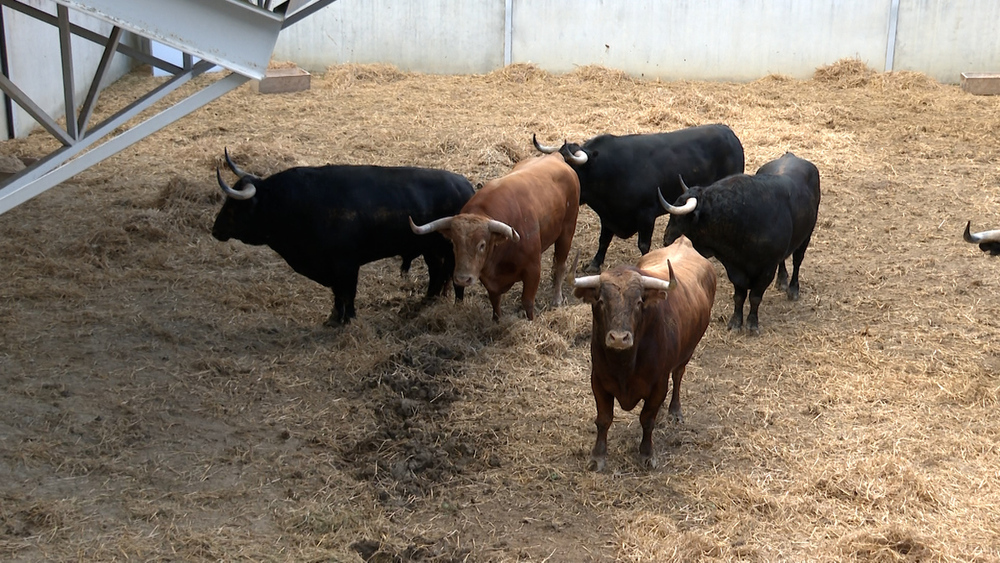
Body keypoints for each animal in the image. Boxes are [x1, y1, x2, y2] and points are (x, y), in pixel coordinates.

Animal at [212, 151, 476, 326]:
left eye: (235, 206)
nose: (215, 230)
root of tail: (466, 185)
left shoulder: (345, 265)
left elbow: (347, 293)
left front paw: (346, 319)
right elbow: (338, 294)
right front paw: (333, 318)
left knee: (452, 278)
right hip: (431, 249)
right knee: (437, 272)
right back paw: (428, 299)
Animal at [408, 153, 580, 322]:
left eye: (482, 245)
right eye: (454, 243)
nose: (463, 279)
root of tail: (555, 156)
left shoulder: (533, 269)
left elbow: (527, 301)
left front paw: (530, 321)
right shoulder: (488, 278)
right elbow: (495, 300)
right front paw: (496, 320)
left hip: (567, 231)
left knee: (560, 265)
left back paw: (557, 299)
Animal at [536, 123, 748, 274]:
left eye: (570, 169)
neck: (609, 170)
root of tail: (728, 132)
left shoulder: (646, 215)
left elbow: (643, 245)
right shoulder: (608, 216)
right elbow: (603, 240)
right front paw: (594, 264)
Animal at [572, 236, 720, 474]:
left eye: (639, 302)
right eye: (601, 301)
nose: (619, 338)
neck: (625, 365)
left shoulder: (658, 386)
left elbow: (647, 420)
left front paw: (646, 454)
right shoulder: (598, 381)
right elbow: (604, 419)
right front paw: (598, 456)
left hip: (687, 353)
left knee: (678, 376)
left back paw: (674, 411)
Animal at [656, 151, 820, 334]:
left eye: (678, 217)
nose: (666, 239)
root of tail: (790, 156)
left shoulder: (766, 269)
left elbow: (755, 296)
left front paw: (752, 324)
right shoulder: (734, 266)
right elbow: (740, 296)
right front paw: (735, 322)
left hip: (806, 235)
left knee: (797, 260)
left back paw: (792, 289)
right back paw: (782, 281)